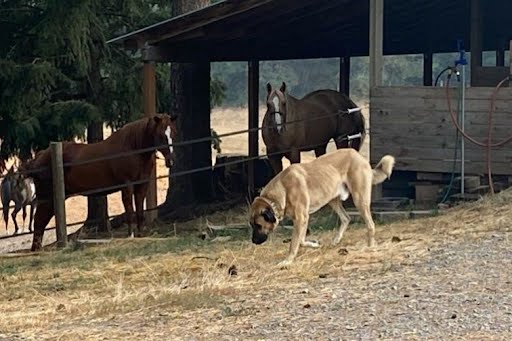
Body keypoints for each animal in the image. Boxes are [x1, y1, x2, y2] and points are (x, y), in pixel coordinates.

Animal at [22, 114, 178, 250]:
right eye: (161, 135)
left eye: (173, 134)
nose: (171, 161)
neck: (133, 148)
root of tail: (40, 156)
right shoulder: (126, 185)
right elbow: (129, 209)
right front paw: (131, 234)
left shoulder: (142, 185)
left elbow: (139, 209)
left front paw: (140, 234)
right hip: (46, 198)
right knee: (39, 221)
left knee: (41, 222)